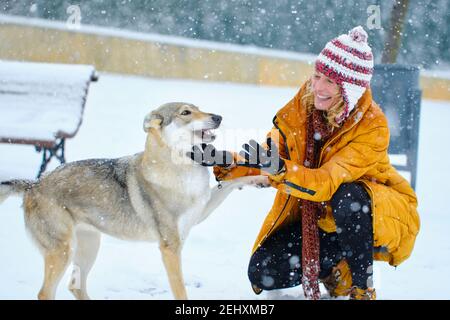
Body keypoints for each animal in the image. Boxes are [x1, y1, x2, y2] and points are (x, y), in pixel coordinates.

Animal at [0, 103, 268, 300]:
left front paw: (261, 178)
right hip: (63, 252)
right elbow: (180, 290)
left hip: (89, 247)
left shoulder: (200, 210)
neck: (181, 169)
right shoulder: (170, 247)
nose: (218, 117)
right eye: (185, 112)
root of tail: (33, 184)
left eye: (198, 108)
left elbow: (231, 183)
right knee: (45, 293)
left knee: (75, 286)